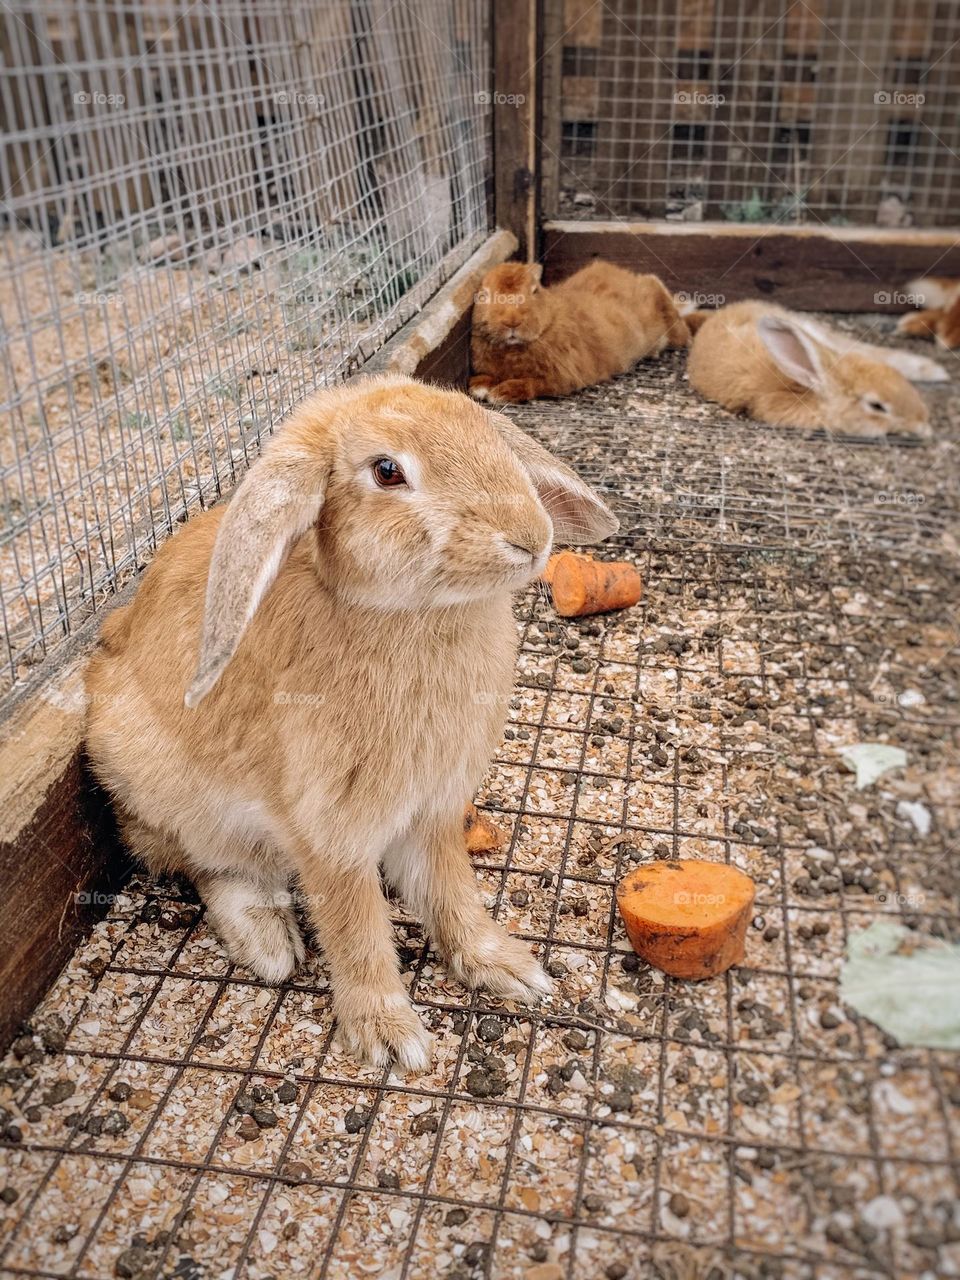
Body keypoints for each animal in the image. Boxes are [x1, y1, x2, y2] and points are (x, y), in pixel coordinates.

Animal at [84, 374, 617, 1070]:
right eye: (387, 471)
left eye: (482, 429)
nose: (530, 536)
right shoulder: (330, 832)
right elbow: (356, 926)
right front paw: (388, 1036)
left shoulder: (435, 808)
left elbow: (451, 891)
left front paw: (506, 967)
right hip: (178, 803)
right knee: (208, 865)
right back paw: (269, 944)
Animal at [469, 259, 690, 403]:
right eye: (484, 295)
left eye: (534, 291)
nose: (512, 322)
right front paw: (478, 386)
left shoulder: (561, 377)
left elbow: (532, 384)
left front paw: (502, 393)